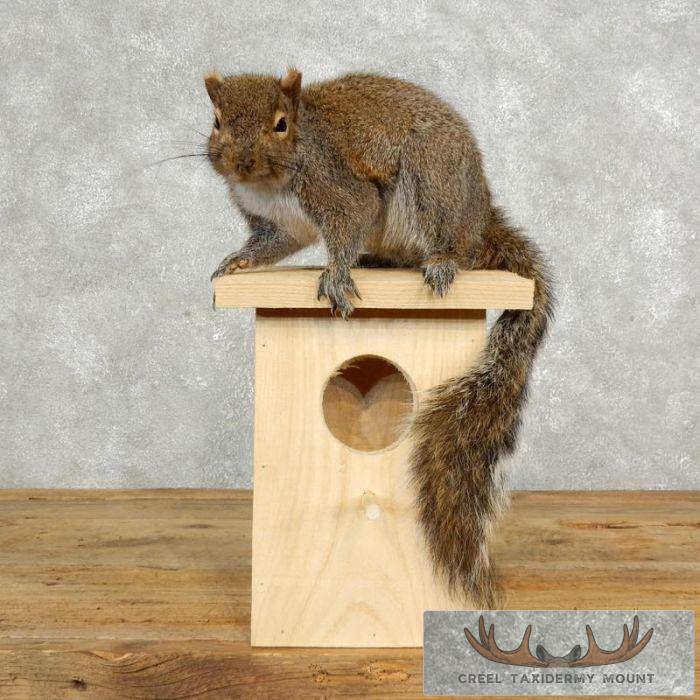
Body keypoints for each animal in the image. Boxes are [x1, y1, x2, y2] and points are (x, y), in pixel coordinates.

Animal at [205, 68, 554, 607]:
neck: (270, 183)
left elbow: (352, 219)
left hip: (431, 183)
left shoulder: (337, 187)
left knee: (455, 243)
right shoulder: (278, 225)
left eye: (281, 124)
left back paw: (442, 261)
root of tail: (481, 213)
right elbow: (273, 245)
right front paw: (236, 261)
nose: (241, 162)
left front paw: (336, 271)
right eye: (217, 121)